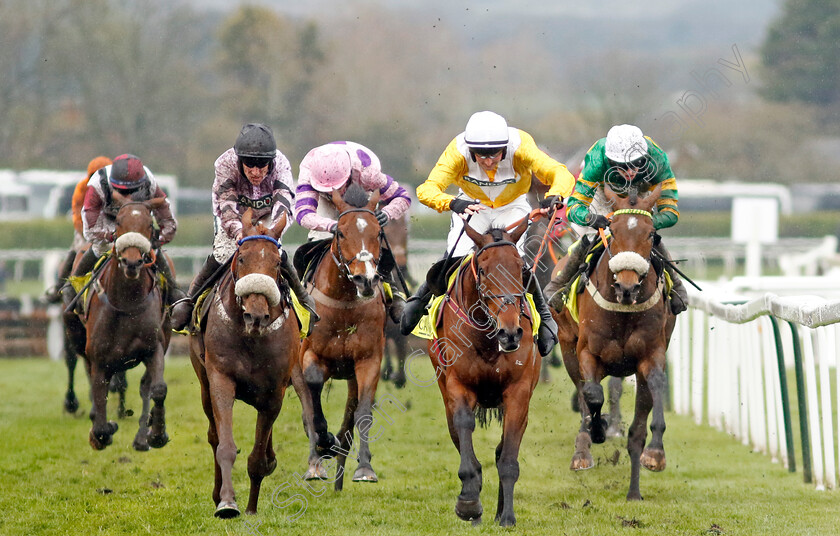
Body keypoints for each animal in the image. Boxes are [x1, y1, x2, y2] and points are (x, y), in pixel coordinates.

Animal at [64, 196, 174, 448]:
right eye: (119, 223)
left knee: (145, 385)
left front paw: (157, 433)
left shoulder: (154, 348)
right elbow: (100, 408)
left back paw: (143, 435)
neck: (126, 302)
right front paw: (103, 429)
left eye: (149, 225)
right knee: (76, 363)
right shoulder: (98, 359)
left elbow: (158, 389)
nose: (131, 262)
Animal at [189, 210, 310, 520]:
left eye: (277, 262)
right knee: (213, 435)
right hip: (204, 382)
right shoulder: (220, 379)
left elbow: (257, 459)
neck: (250, 337)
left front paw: (252, 507)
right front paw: (227, 502)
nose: (255, 315)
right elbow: (225, 445)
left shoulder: (274, 393)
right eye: (242, 258)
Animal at [300, 186, 388, 492]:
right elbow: (313, 397)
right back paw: (317, 460)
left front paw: (365, 468)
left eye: (378, 232)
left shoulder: (368, 360)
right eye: (340, 232)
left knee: (351, 412)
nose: (366, 280)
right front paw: (323, 446)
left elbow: (362, 412)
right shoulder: (309, 356)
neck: (344, 304)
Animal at [426, 216, 540, 524]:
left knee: (502, 450)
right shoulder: (458, 386)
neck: (488, 340)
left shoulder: (518, 392)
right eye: (486, 271)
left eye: (521, 268)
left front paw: (507, 516)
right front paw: (468, 502)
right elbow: (465, 429)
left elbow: (508, 457)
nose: (510, 332)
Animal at [556, 185, 680, 502]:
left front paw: (656, 454)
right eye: (612, 229)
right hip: (567, 347)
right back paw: (583, 450)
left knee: (636, 430)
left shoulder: (651, 354)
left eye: (651, 234)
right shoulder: (586, 353)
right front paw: (597, 430)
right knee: (584, 395)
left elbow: (656, 386)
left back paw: (633, 492)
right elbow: (592, 395)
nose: (626, 287)